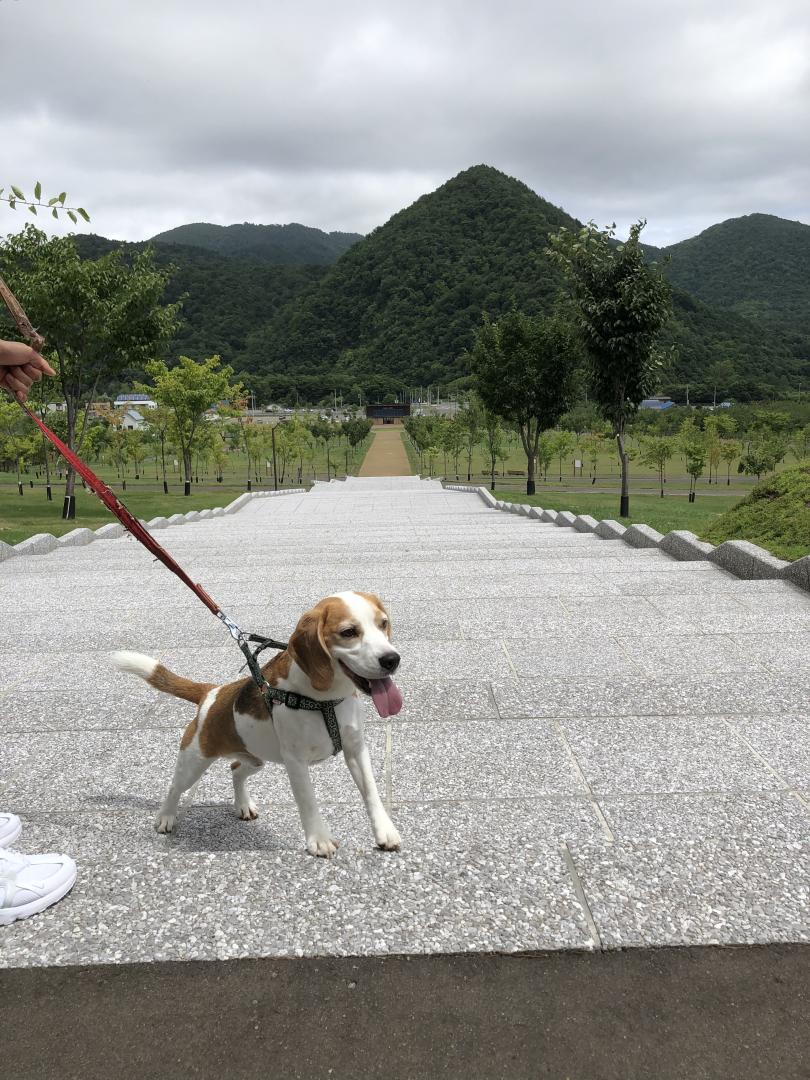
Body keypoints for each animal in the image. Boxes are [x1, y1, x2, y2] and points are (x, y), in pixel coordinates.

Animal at [112, 596, 403, 855]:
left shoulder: (356, 749)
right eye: (349, 632)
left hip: (255, 759)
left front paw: (385, 832)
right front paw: (319, 841)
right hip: (195, 760)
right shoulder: (296, 761)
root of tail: (212, 692)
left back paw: (243, 804)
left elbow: (371, 793)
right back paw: (166, 817)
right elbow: (308, 801)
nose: (392, 659)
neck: (326, 699)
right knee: (175, 786)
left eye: (383, 624)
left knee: (235, 770)